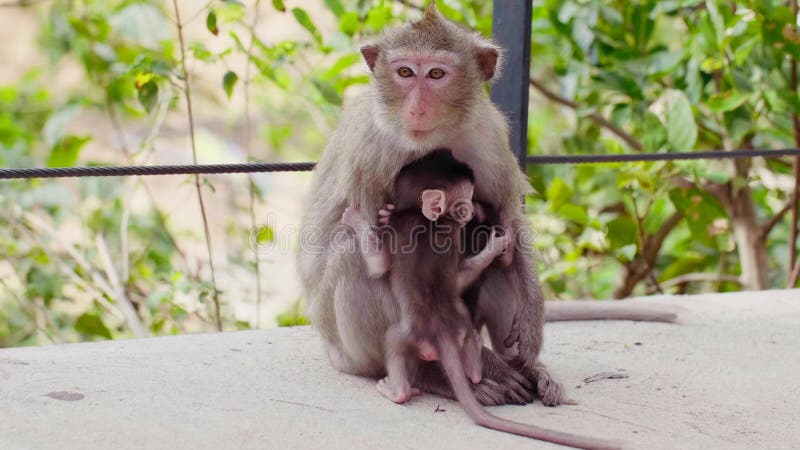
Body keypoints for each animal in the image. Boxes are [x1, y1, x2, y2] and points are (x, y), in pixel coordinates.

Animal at [296, 4, 672, 404]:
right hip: (349, 352)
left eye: (436, 73)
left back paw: (526, 367)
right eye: (404, 72)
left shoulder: (488, 137)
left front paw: (531, 328)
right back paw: (436, 375)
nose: (416, 108)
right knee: (352, 251)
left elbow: (510, 219)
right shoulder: (369, 156)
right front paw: (479, 368)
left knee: (499, 251)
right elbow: (378, 256)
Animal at [340, 151, 616, 450]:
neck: (419, 216)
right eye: (465, 202)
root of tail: (442, 332)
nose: (473, 210)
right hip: (452, 334)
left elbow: (379, 263)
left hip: (411, 337)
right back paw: (480, 378)